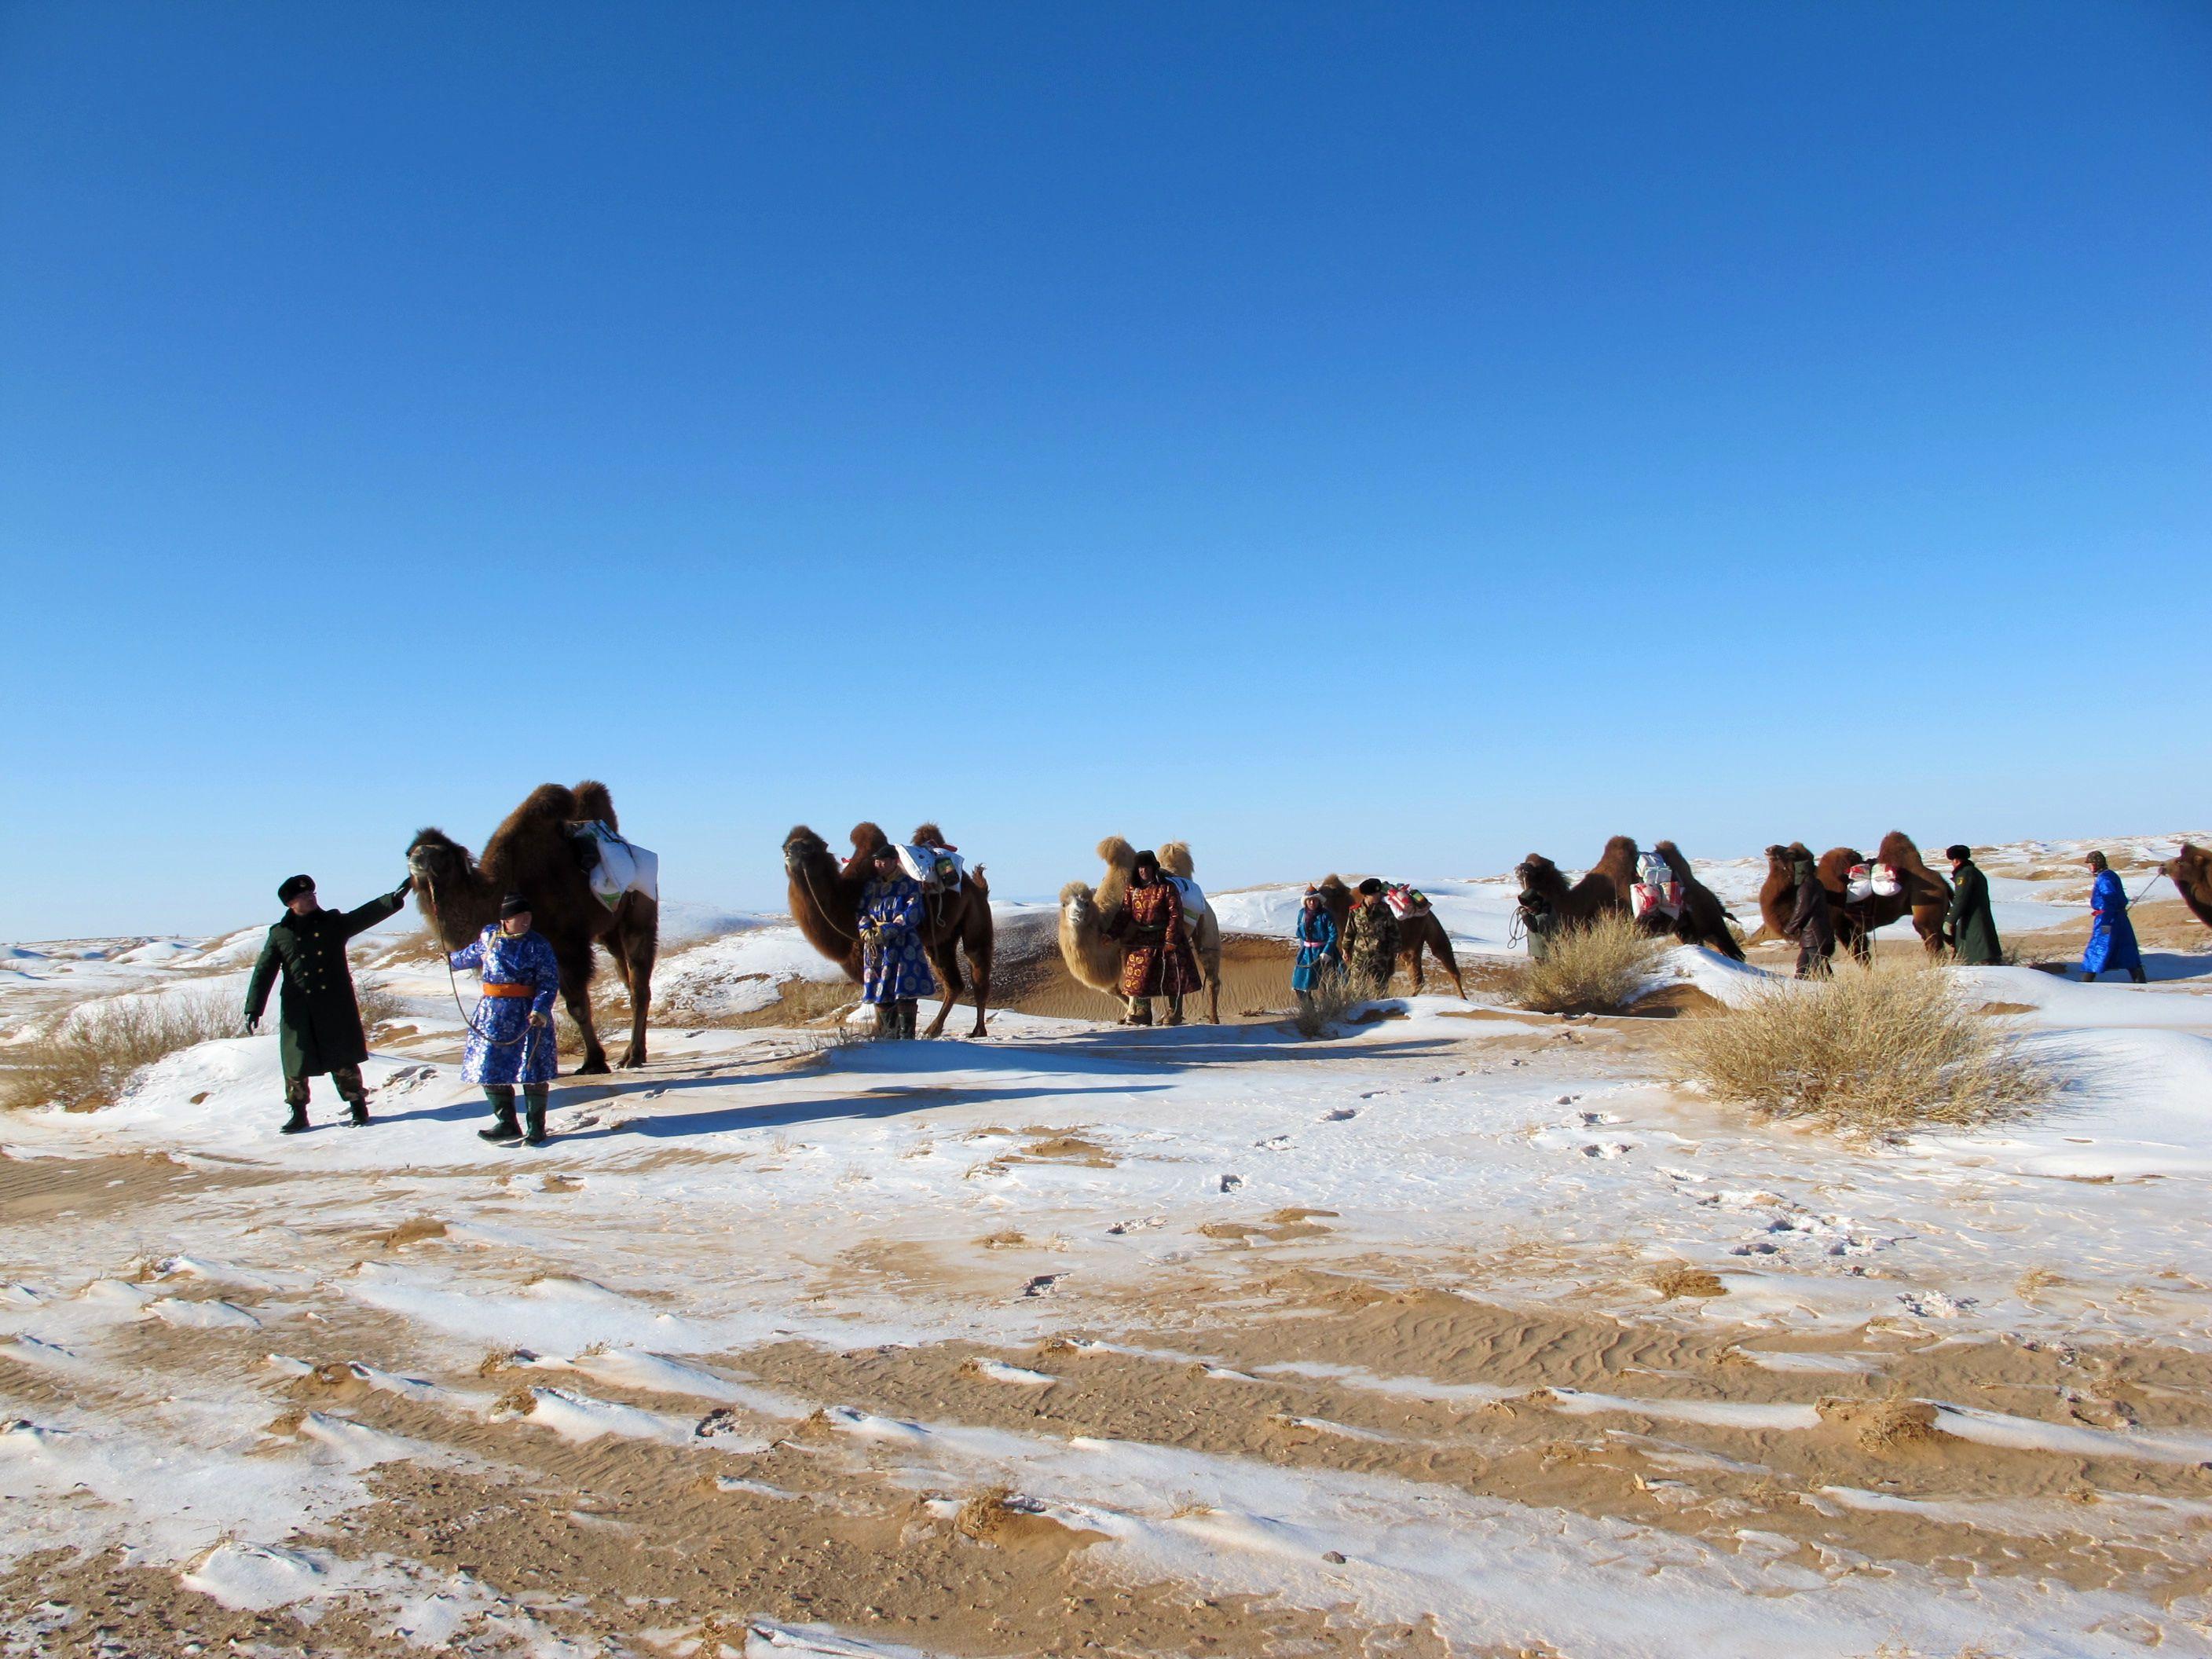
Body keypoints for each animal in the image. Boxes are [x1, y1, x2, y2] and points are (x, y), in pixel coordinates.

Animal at [408, 782, 654, 1079]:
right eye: (409, 851)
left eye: (443, 853)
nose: (418, 858)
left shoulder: (567, 944)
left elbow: (576, 1005)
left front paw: (593, 1062)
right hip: (609, 933)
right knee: (628, 977)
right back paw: (636, 1053)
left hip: (639, 914)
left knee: (638, 984)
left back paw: (633, 1056)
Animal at [774, 822, 991, 1039]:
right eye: (785, 845)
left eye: (808, 847)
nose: (791, 851)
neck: (845, 899)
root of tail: (978, 888)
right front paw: (881, 1032)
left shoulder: (861, 949)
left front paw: (881, 1032)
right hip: (941, 940)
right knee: (953, 983)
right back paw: (933, 1029)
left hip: (976, 916)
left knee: (977, 970)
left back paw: (977, 1030)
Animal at [1057, 836, 1229, 1021]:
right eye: (1064, 904)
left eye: (1086, 903)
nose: (1077, 914)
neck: (1106, 920)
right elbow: (1114, 989)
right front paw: (1135, 1014)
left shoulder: (1128, 943)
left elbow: (1130, 978)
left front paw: (1131, 1015)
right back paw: (1171, 1017)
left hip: (1207, 923)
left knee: (1211, 974)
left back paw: (1213, 1018)